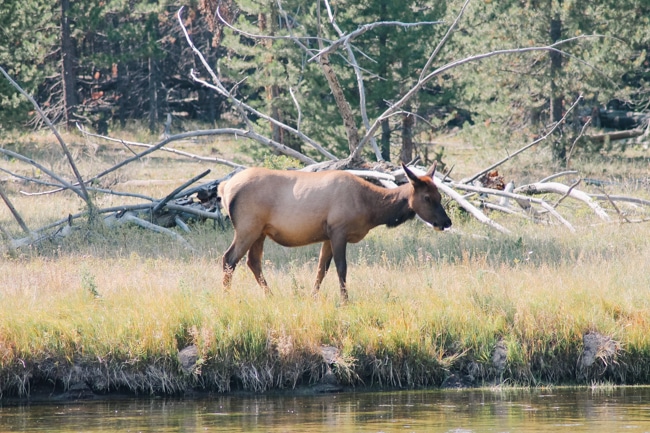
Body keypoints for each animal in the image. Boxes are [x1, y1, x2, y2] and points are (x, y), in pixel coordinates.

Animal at [217, 163, 451, 302]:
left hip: (260, 231)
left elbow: (321, 268)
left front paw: (313, 297)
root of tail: (225, 186)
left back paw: (271, 295)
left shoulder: (327, 236)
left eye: (439, 196)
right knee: (229, 258)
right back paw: (227, 297)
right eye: (427, 198)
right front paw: (345, 301)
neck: (370, 209)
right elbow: (341, 268)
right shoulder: (339, 230)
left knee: (252, 261)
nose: (446, 222)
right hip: (248, 227)